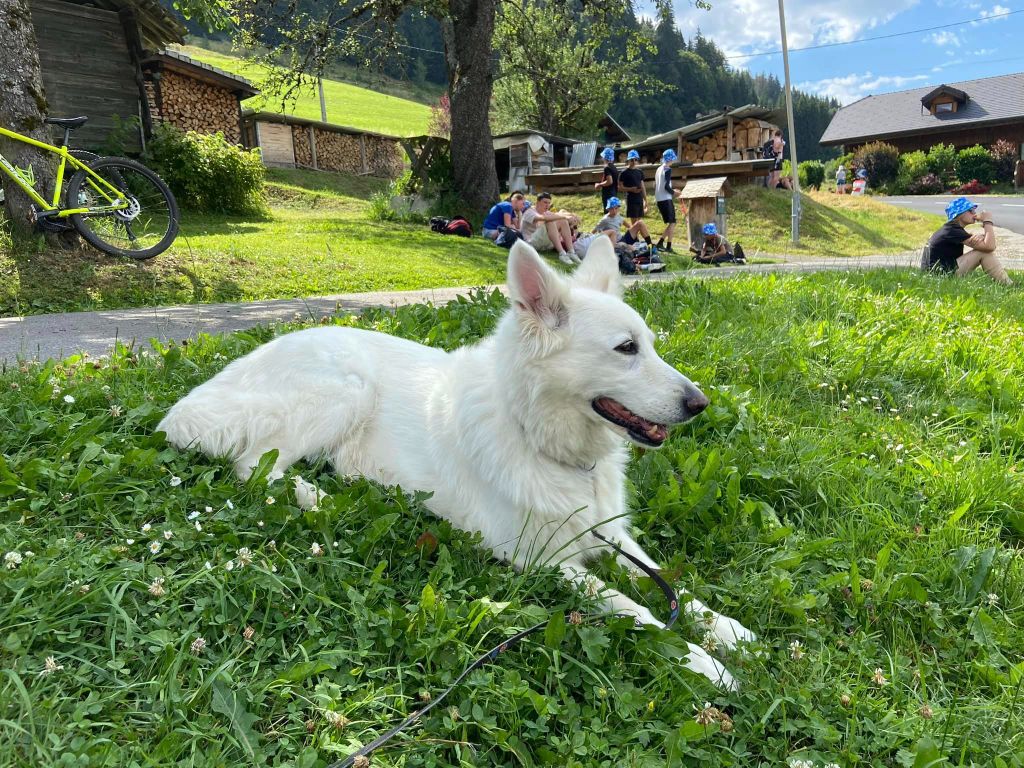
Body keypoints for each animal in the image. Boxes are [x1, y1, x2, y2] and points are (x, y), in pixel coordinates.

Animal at [157, 237, 754, 688]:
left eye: (650, 344)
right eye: (626, 349)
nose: (699, 404)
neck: (538, 437)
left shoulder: (605, 532)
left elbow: (668, 582)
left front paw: (729, 631)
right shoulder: (544, 560)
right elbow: (639, 609)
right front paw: (704, 663)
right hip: (346, 388)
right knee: (254, 464)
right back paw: (319, 497)